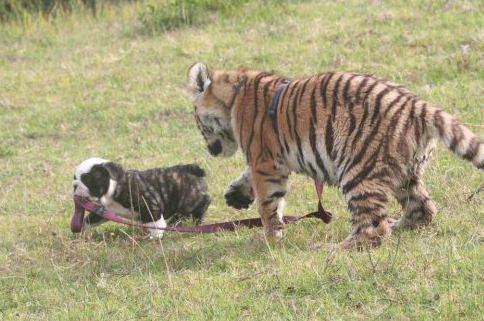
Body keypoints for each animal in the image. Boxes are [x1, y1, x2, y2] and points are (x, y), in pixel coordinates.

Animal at [73, 158, 211, 238]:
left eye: (87, 179)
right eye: (74, 178)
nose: (74, 185)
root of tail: (194, 169)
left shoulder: (148, 204)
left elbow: (156, 222)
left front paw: (155, 236)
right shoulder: (104, 211)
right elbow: (91, 219)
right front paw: (81, 228)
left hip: (188, 200)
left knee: (203, 204)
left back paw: (197, 221)